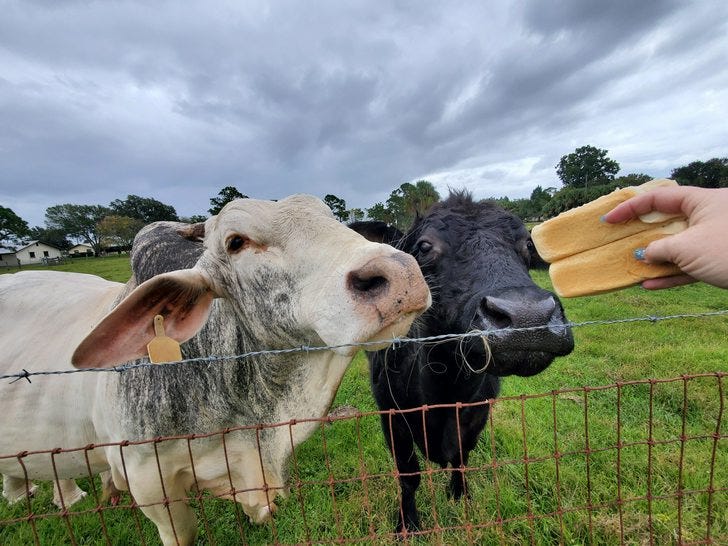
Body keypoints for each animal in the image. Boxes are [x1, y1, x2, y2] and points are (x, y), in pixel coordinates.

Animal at [349, 191, 574, 534]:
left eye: (527, 244)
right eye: (424, 246)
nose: (528, 316)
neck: (445, 388)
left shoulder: (477, 412)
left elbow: (461, 456)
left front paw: (459, 494)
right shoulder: (391, 415)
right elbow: (409, 475)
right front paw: (408, 522)